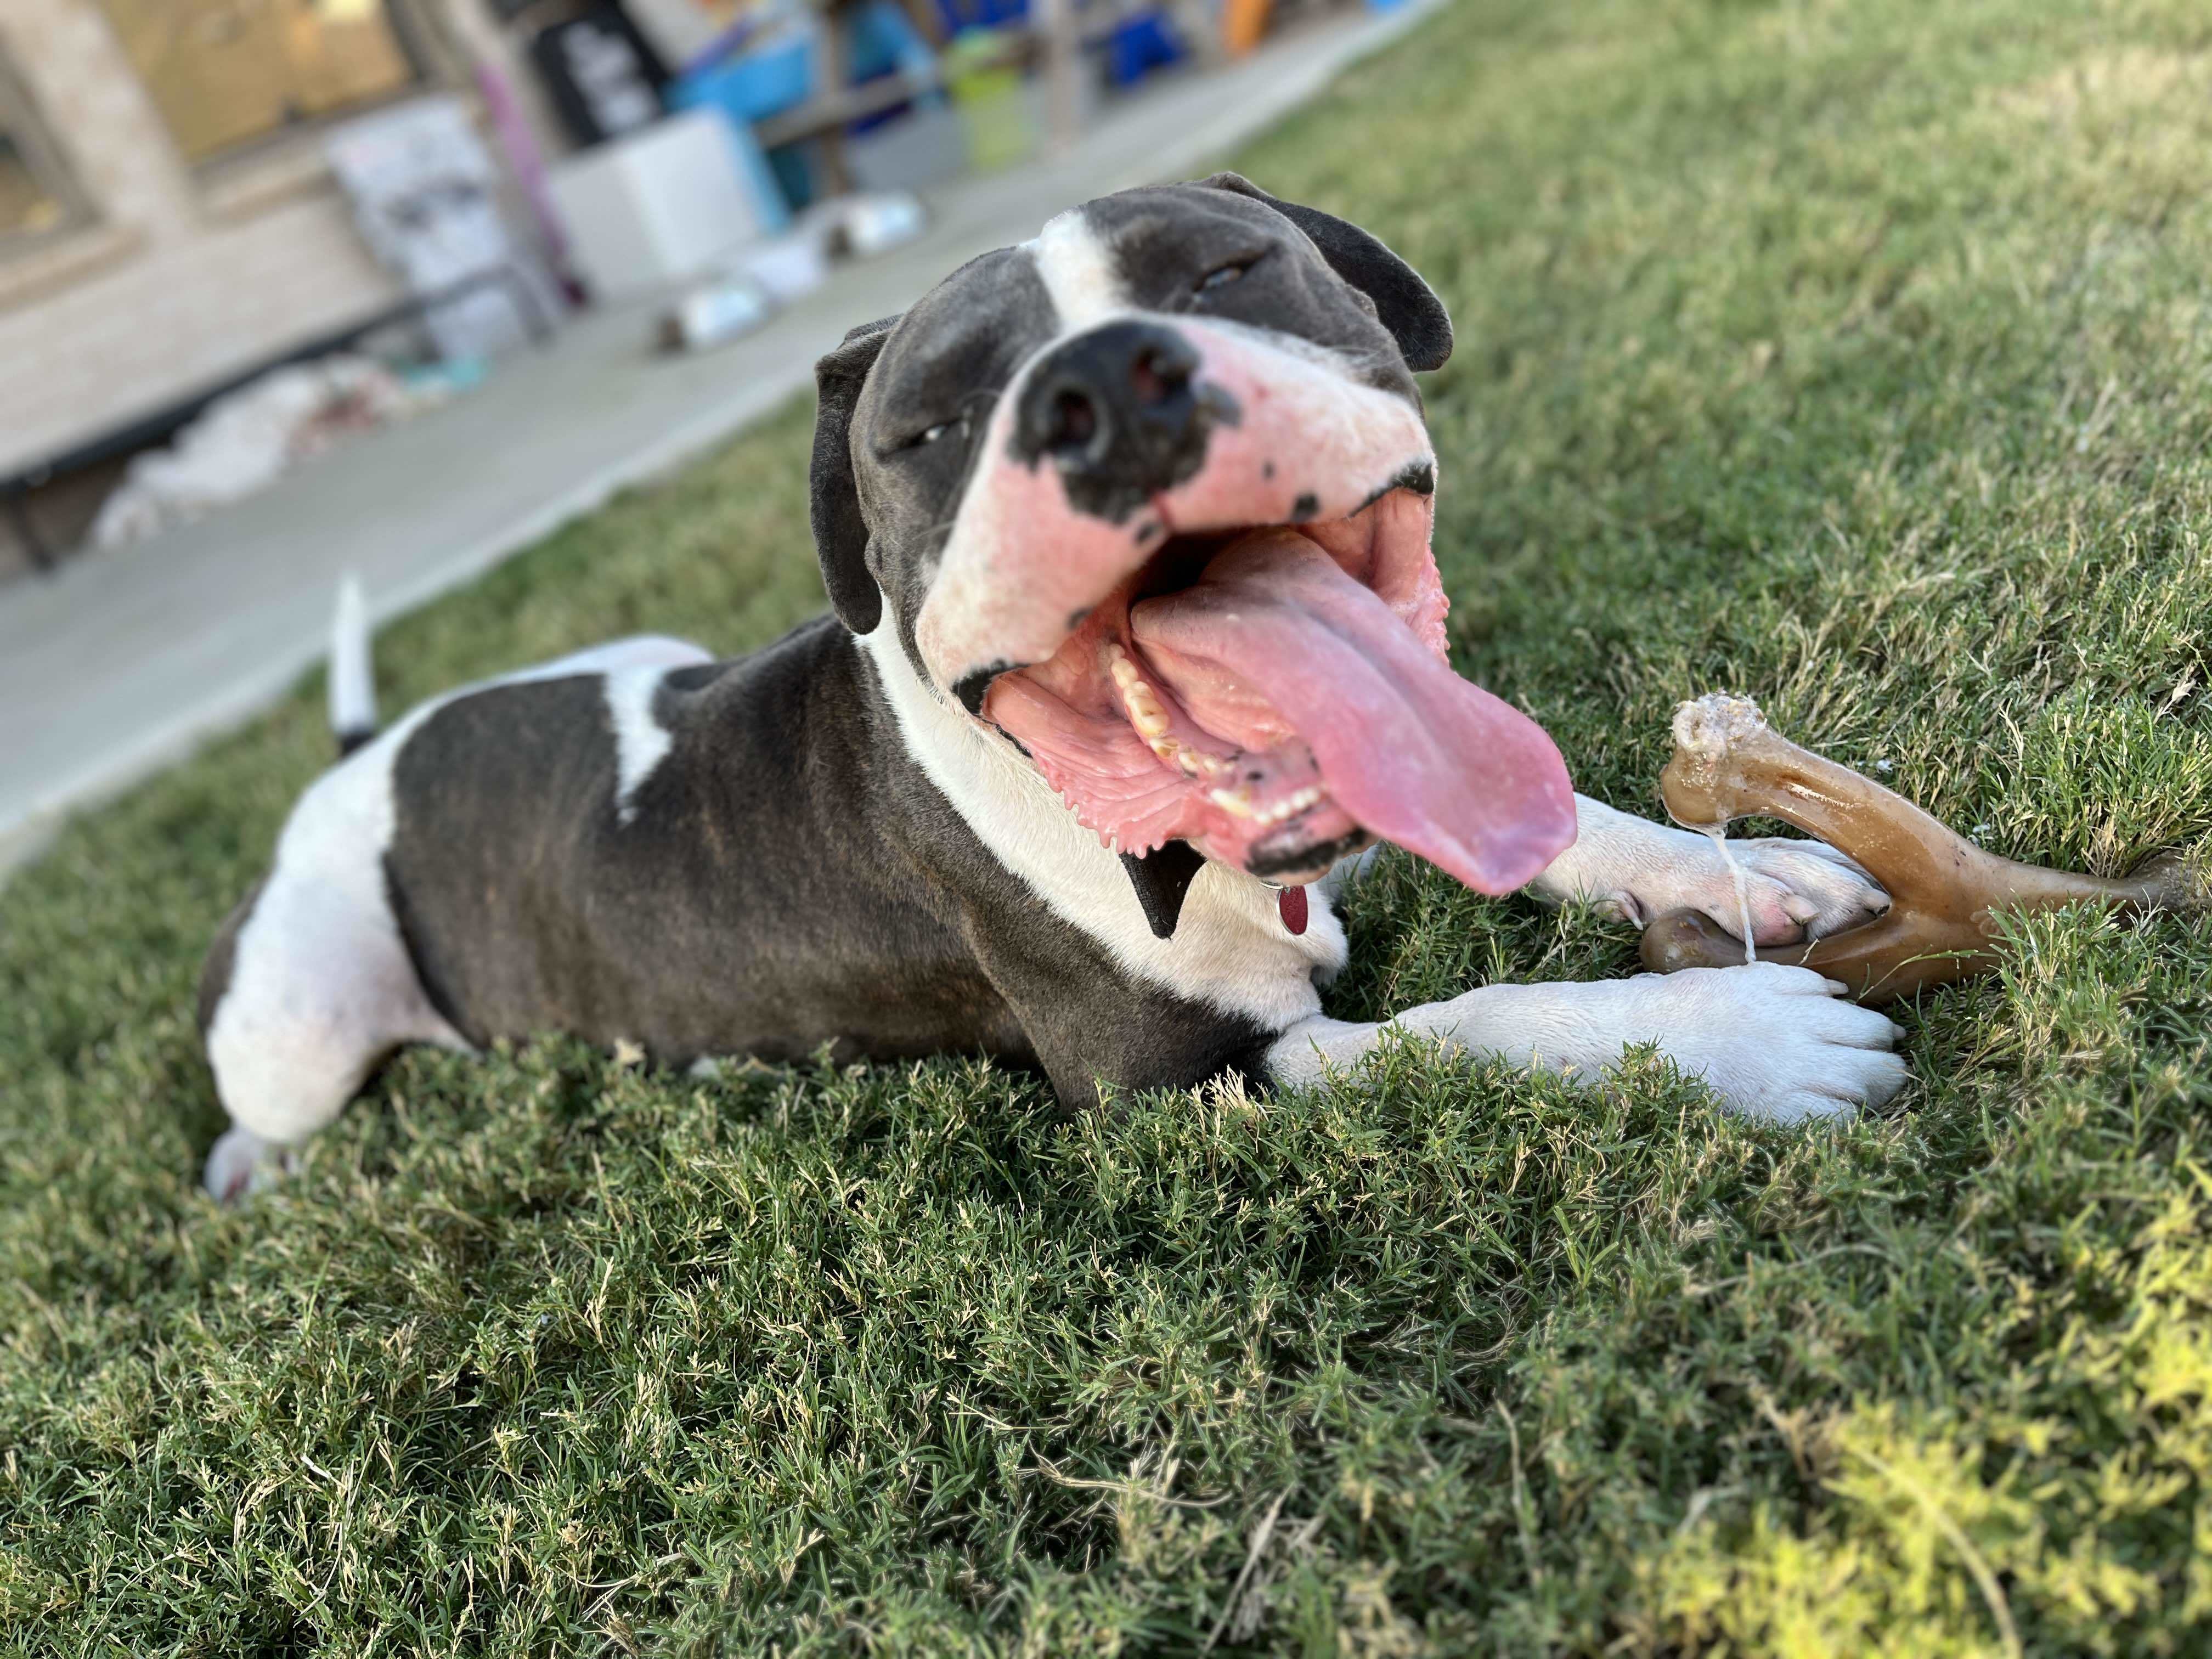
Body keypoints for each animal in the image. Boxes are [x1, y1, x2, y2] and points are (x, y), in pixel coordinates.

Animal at [199, 176, 1911, 1203]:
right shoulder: (1168, 1082)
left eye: (1230, 267)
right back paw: (249, 1171)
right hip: (300, 1018)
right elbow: (1473, 1019)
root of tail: (354, 766)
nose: (1106, 385)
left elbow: (1563, 822)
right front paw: (1737, 1039)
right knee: (270, 1097)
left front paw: (1737, 870)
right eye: (929, 423)